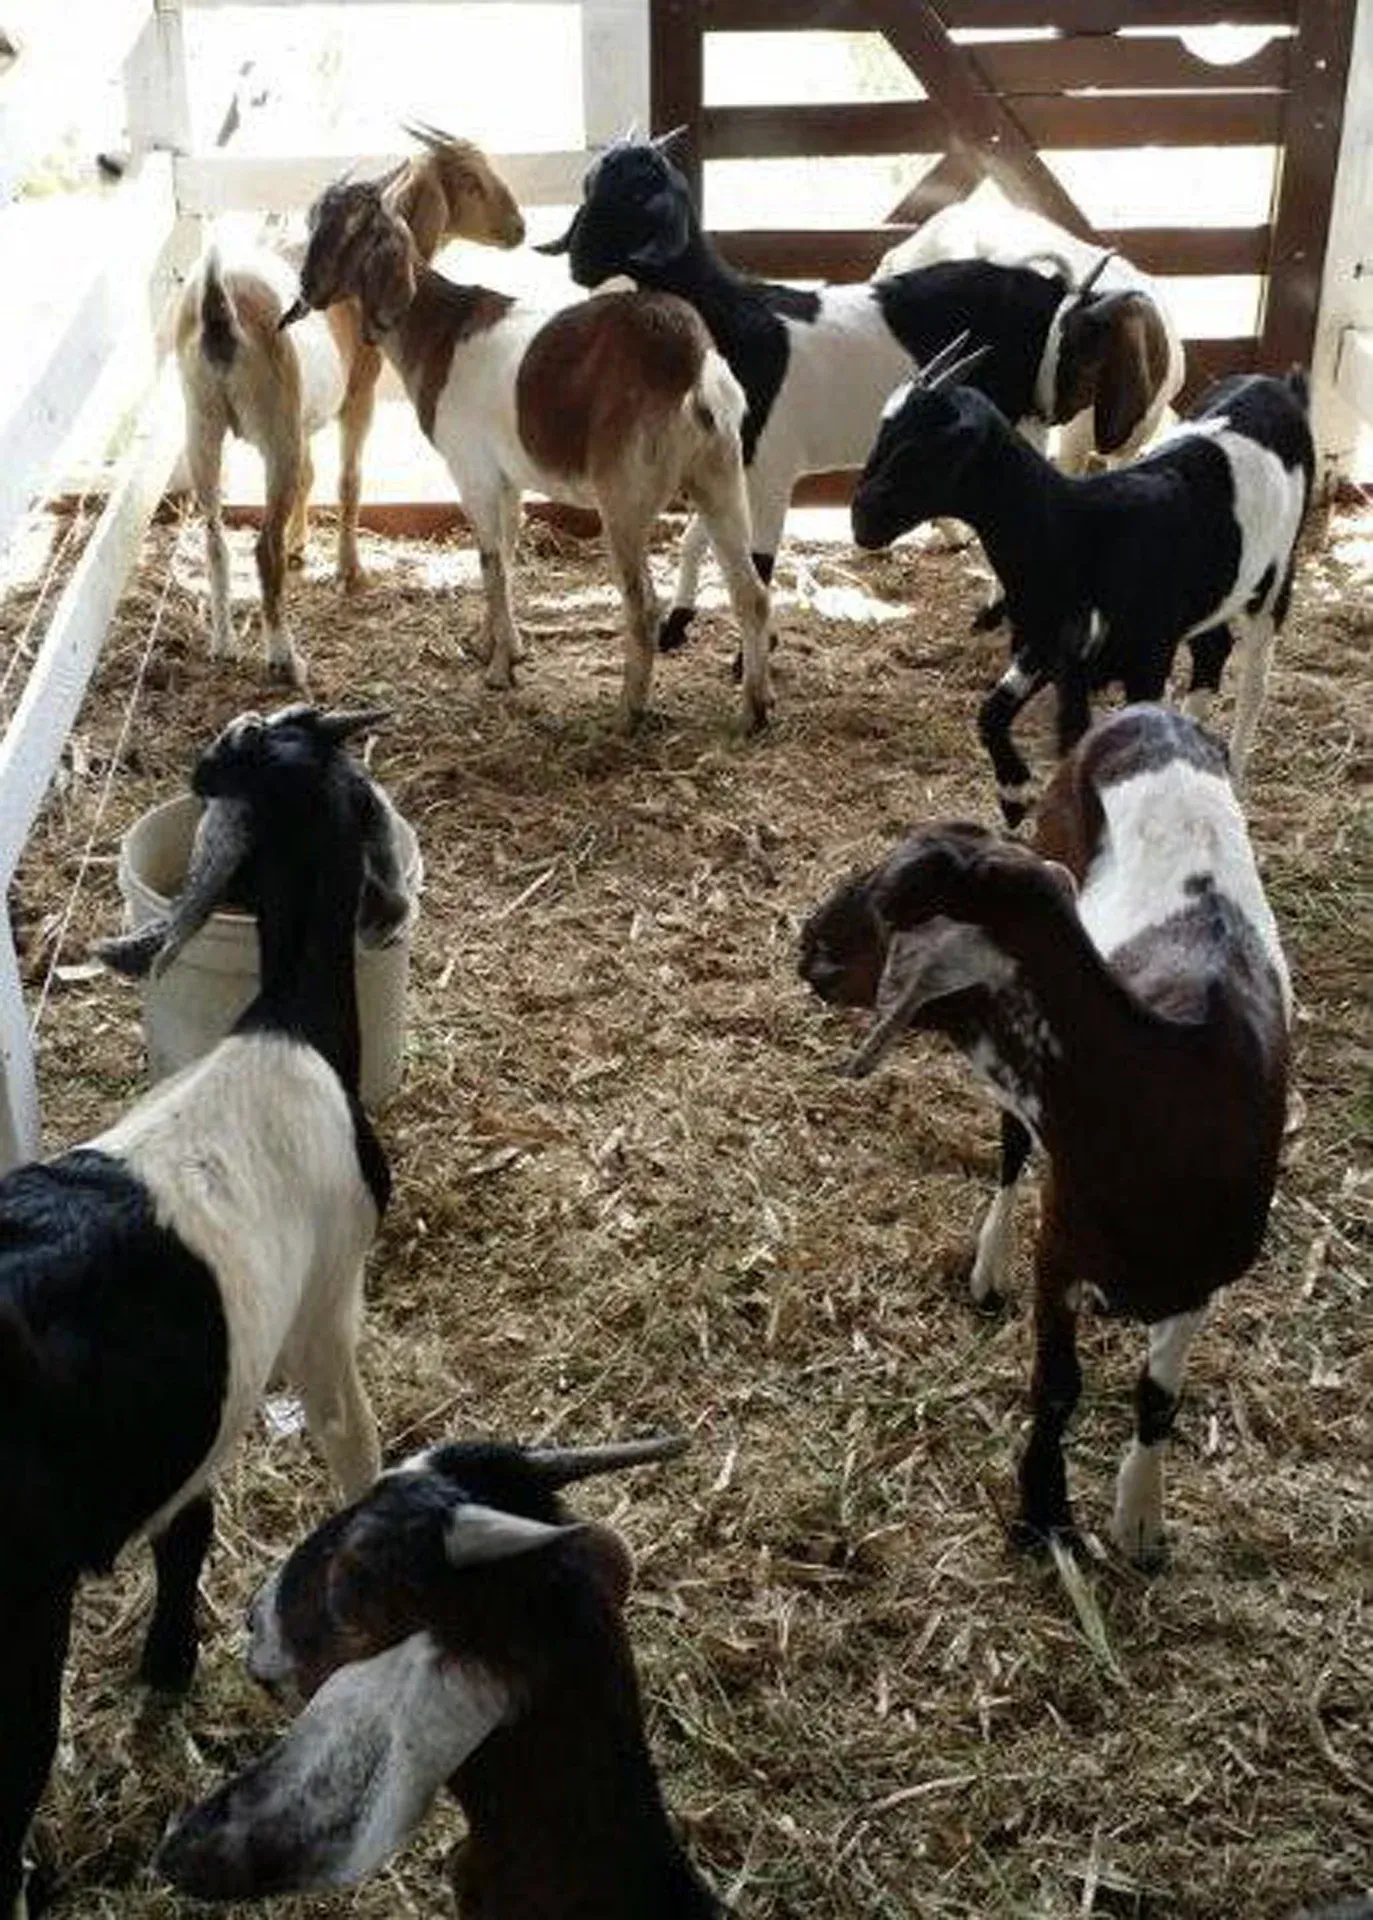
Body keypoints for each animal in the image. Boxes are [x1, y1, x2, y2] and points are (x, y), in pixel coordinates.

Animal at [0, 704, 399, 1920]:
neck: (285, 1026)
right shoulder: (323, 1318)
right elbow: (353, 1448)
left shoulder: (203, 1416)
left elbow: (189, 1534)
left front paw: (168, 1665)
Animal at [176, 125, 525, 686]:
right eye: (471, 178)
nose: (519, 228)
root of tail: (217, 307)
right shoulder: (358, 393)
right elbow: (347, 479)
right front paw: (350, 571)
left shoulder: (302, 421)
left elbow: (308, 478)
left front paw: (301, 544)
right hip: (272, 432)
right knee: (261, 550)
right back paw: (284, 657)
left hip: (202, 426)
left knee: (215, 539)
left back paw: (224, 643)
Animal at [282, 173, 771, 733]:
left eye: (352, 229)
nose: (307, 290)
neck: (437, 329)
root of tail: (693, 367)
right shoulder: (507, 477)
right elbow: (511, 553)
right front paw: (498, 645)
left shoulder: (471, 471)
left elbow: (490, 562)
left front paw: (498, 671)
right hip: (722, 475)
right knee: (751, 593)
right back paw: (754, 709)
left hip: (624, 495)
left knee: (644, 605)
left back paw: (628, 712)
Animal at [799, 705, 1291, 1566]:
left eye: (891, 896)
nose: (805, 942)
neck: (1164, 1093)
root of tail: (1151, 711)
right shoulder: (1057, 1251)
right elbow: (1057, 1385)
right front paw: (1039, 1515)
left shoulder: (1200, 1280)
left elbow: (1155, 1397)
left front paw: (1138, 1523)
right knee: (1009, 1149)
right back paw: (986, 1267)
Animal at [852, 363, 1314, 825]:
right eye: (883, 435)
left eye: (929, 450)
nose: (862, 520)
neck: (1082, 530)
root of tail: (1277, 384)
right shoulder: (1048, 645)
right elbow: (998, 715)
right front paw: (1014, 795)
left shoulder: (1146, 658)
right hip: (1212, 598)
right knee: (1213, 650)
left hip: (1274, 577)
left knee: (1254, 681)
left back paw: (1233, 773)